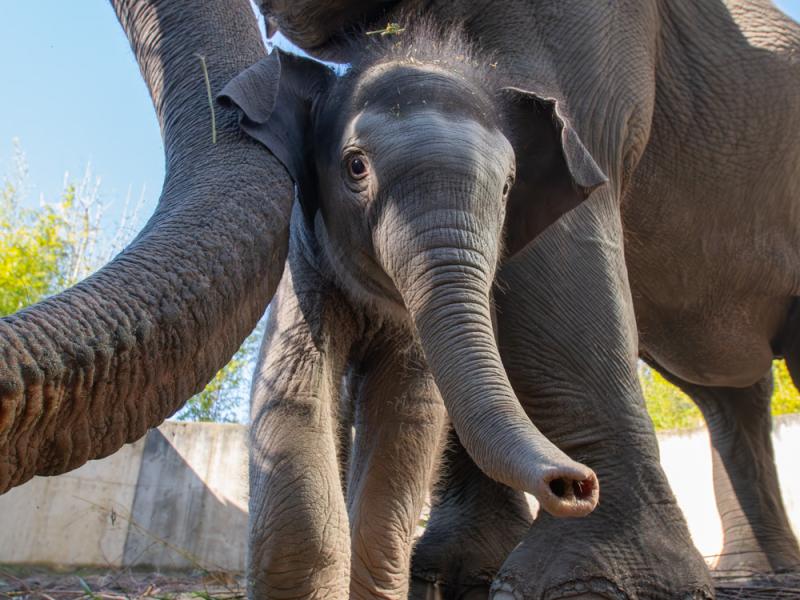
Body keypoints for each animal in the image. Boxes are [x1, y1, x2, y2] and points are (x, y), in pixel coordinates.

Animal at [219, 21, 608, 596]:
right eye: (356, 166)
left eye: (508, 187)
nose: (576, 484)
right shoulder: (304, 266)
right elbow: (296, 395)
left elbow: (409, 417)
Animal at [260, 0, 796, 596]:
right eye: (355, 167)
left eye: (506, 188)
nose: (574, 483)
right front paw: (460, 579)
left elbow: (569, 232)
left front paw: (590, 587)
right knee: (729, 395)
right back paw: (755, 571)